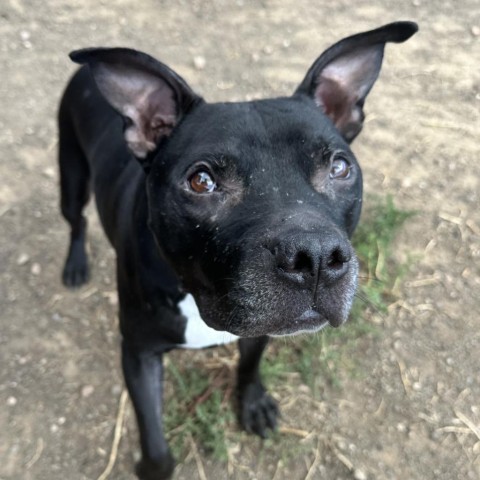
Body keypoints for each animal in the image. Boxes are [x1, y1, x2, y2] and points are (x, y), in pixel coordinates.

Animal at [57, 22, 416, 480]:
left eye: (339, 167)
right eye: (201, 181)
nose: (316, 257)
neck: (194, 296)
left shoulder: (261, 328)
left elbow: (249, 363)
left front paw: (253, 402)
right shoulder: (138, 354)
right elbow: (154, 438)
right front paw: (154, 467)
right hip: (71, 177)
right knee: (77, 221)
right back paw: (75, 265)